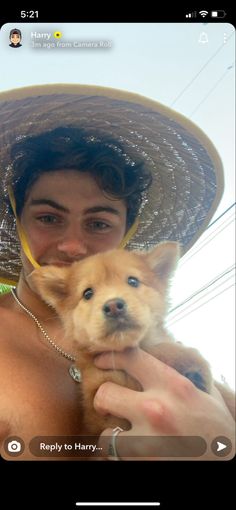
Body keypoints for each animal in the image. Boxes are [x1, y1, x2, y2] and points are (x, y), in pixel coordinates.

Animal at [30, 243, 212, 434]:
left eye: (133, 281)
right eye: (87, 293)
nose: (113, 306)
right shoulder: (102, 390)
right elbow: (161, 349)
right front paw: (195, 362)